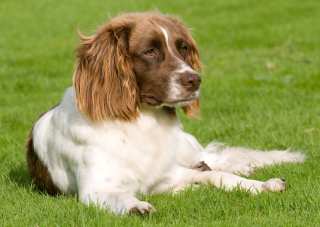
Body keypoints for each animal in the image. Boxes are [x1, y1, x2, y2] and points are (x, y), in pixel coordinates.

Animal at [26, 12, 304, 215]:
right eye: (150, 51)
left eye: (183, 48)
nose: (195, 80)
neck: (141, 121)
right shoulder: (96, 189)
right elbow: (120, 196)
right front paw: (135, 205)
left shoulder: (168, 174)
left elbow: (218, 175)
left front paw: (261, 185)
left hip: (186, 148)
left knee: (214, 159)